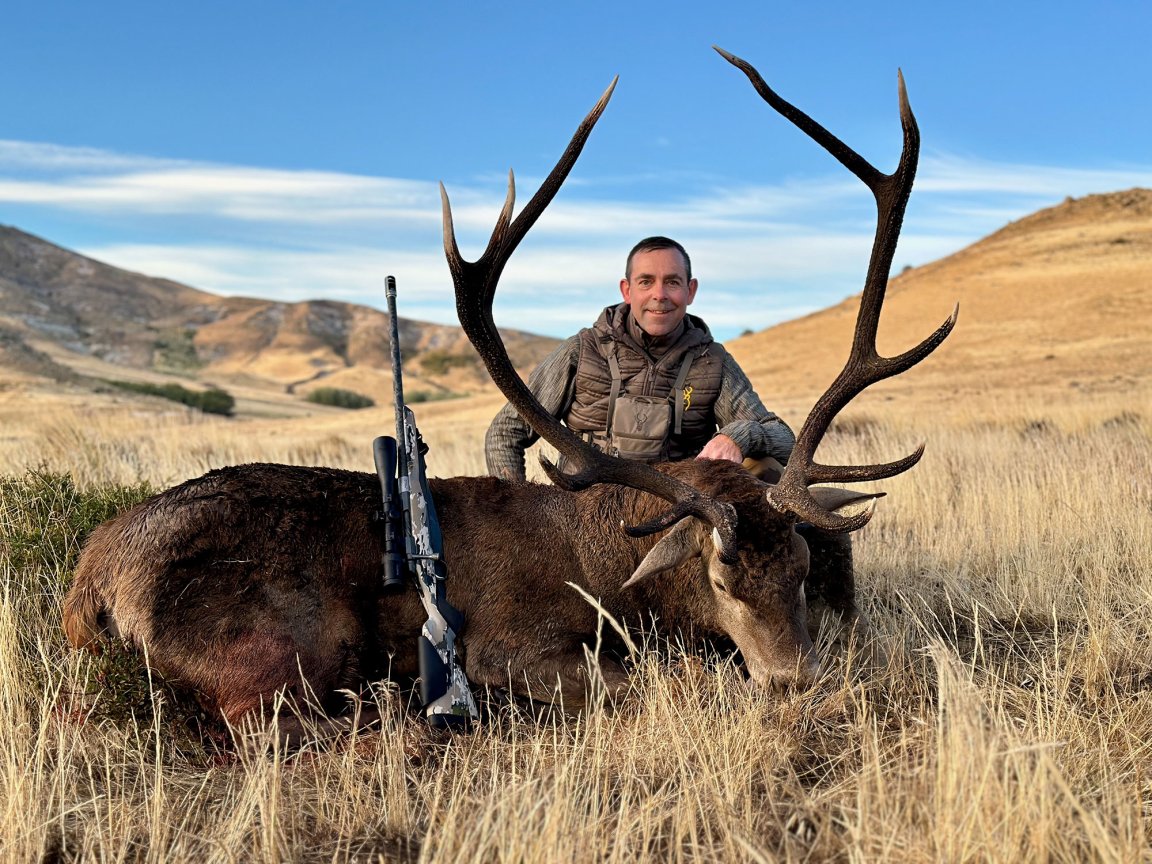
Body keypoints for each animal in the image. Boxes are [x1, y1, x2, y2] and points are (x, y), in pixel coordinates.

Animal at [62, 47, 955, 736]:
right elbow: (666, 680)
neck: (611, 571)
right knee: (265, 722)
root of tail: (90, 580)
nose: (794, 681)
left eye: (804, 567)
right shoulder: (514, 647)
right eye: (720, 578)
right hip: (273, 647)